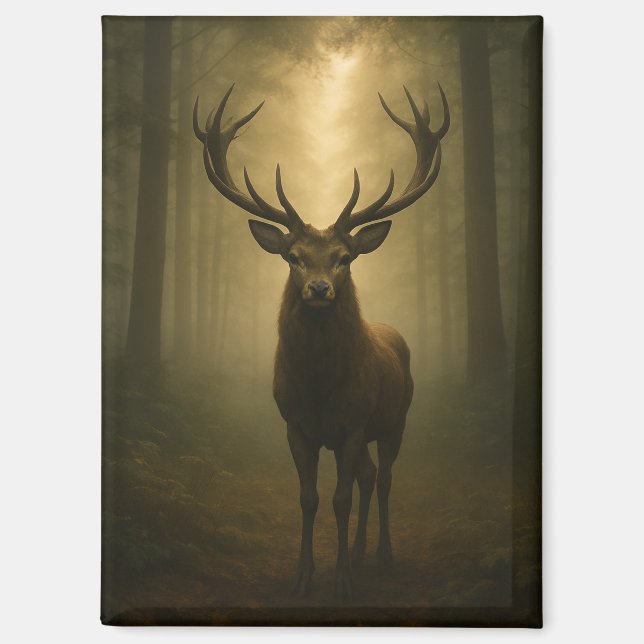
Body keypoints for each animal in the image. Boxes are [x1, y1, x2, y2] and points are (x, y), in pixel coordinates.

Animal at [194, 82, 449, 602]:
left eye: (344, 257)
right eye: (292, 256)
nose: (318, 288)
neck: (319, 387)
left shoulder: (353, 422)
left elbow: (340, 498)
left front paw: (344, 583)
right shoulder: (296, 424)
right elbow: (309, 499)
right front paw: (304, 576)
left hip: (397, 417)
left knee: (383, 478)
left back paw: (381, 555)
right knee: (369, 477)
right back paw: (358, 551)